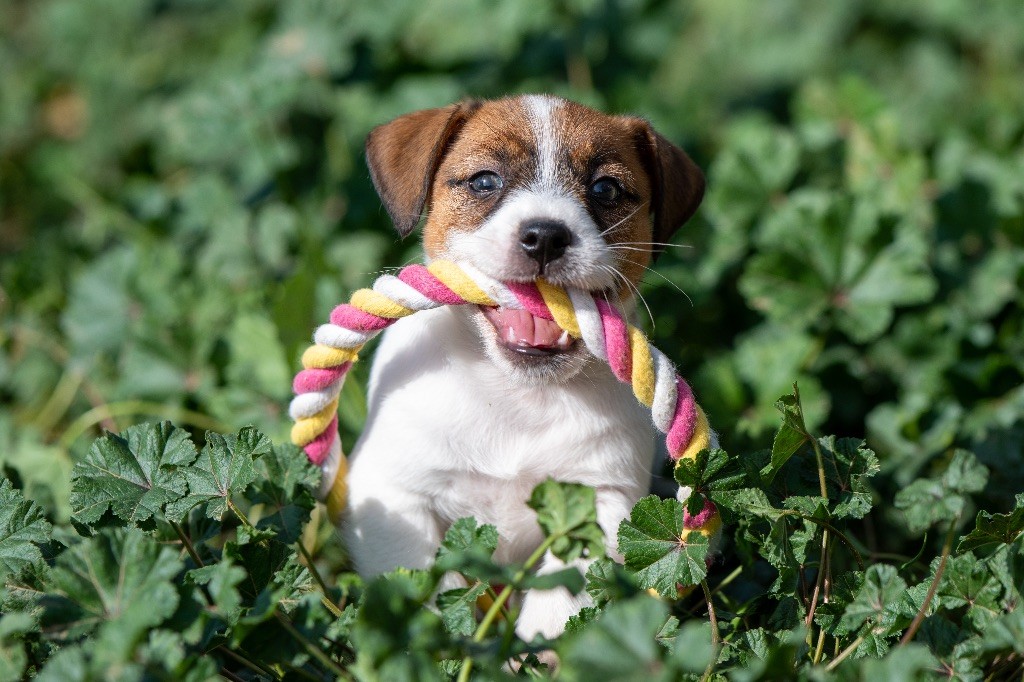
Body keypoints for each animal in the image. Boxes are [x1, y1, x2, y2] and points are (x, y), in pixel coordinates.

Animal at [348, 94, 708, 638]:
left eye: (605, 189)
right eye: (484, 181)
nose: (544, 236)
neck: (515, 395)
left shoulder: (602, 498)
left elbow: (564, 595)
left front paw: (542, 645)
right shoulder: (392, 494)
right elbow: (422, 583)